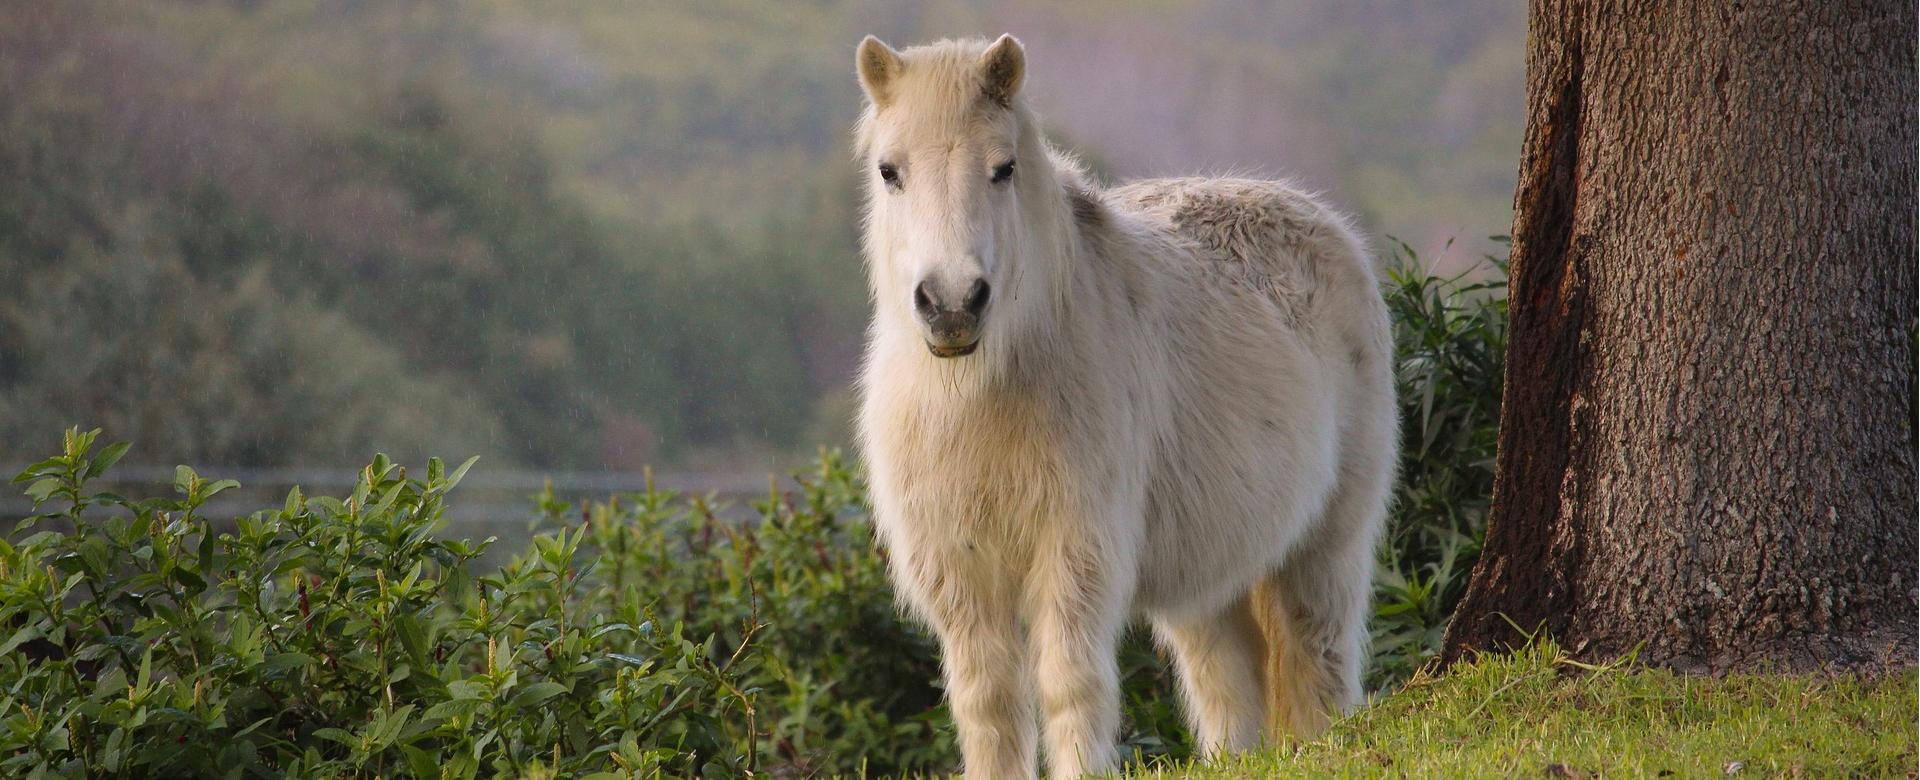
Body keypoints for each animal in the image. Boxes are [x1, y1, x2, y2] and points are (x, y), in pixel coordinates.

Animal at [851, 34, 1397, 778]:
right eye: (890, 171)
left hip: (1325, 547)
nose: (953, 305)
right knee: (1228, 683)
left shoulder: (1075, 551)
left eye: (1003, 169)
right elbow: (987, 702)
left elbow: (1069, 684)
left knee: (1320, 660)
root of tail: (1322, 222)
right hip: (1210, 579)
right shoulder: (959, 571)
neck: (982, 397)